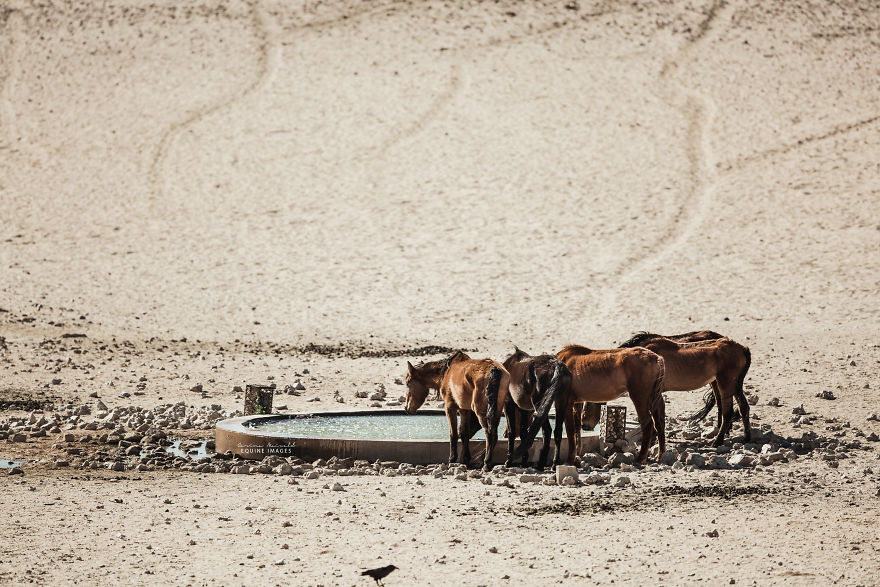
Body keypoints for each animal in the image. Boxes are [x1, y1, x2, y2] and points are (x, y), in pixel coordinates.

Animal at [616, 336, 752, 446]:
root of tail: (743, 349)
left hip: (725, 383)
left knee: (727, 413)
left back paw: (718, 441)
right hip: (735, 385)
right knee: (743, 407)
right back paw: (746, 438)